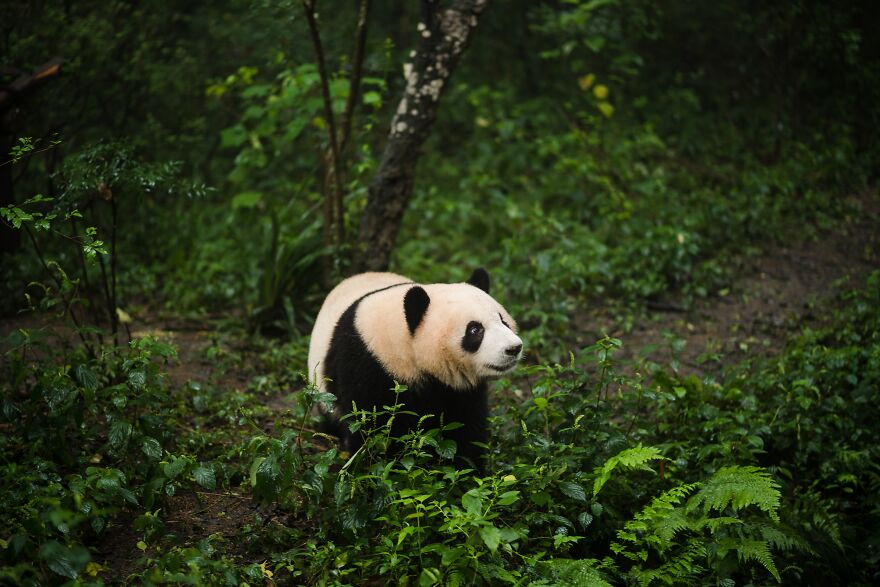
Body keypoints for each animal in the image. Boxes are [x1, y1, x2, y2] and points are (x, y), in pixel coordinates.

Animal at [307, 268, 522, 470]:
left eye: (503, 321)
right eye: (475, 329)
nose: (514, 348)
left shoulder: (461, 390)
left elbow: (466, 428)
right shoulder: (364, 362)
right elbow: (372, 427)